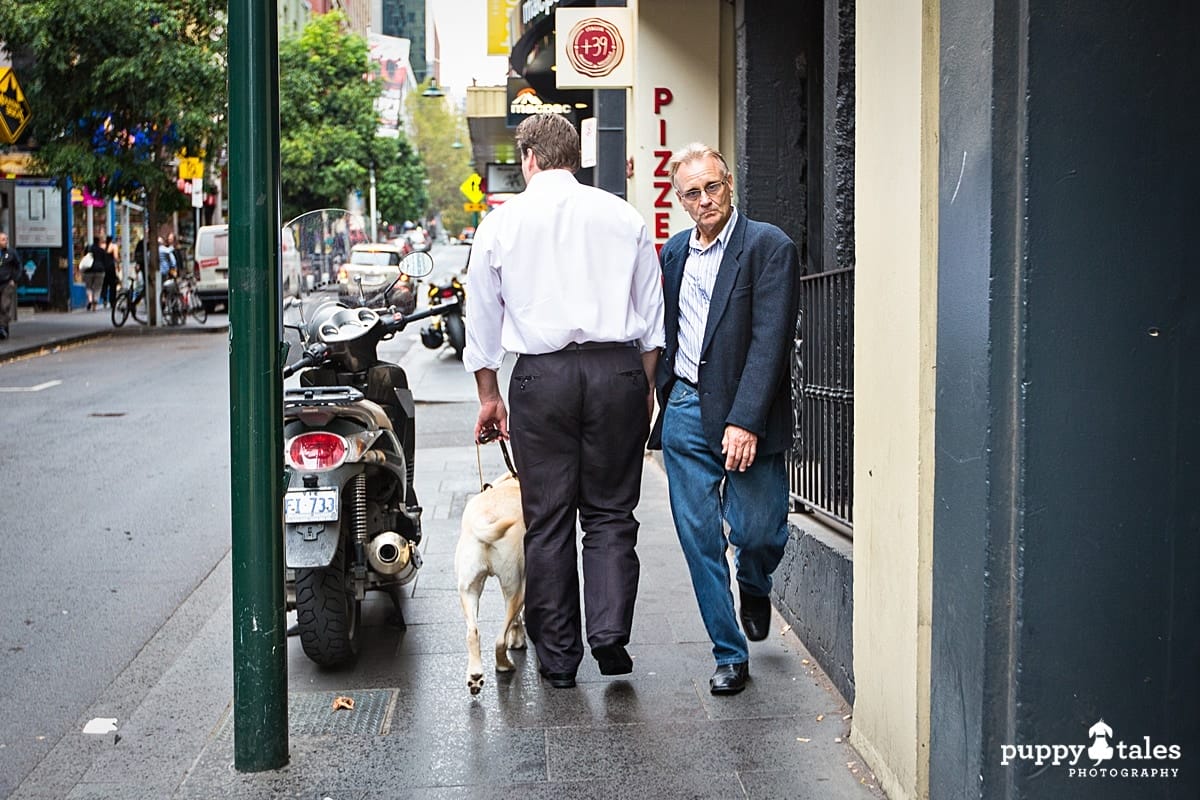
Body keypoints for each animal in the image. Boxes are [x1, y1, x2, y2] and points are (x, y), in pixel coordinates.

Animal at [453, 474, 525, 695]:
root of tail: (486, 518)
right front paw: (519, 638)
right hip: (516, 589)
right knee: (500, 640)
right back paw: (504, 665)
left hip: (468, 590)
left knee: (472, 633)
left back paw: (475, 675)